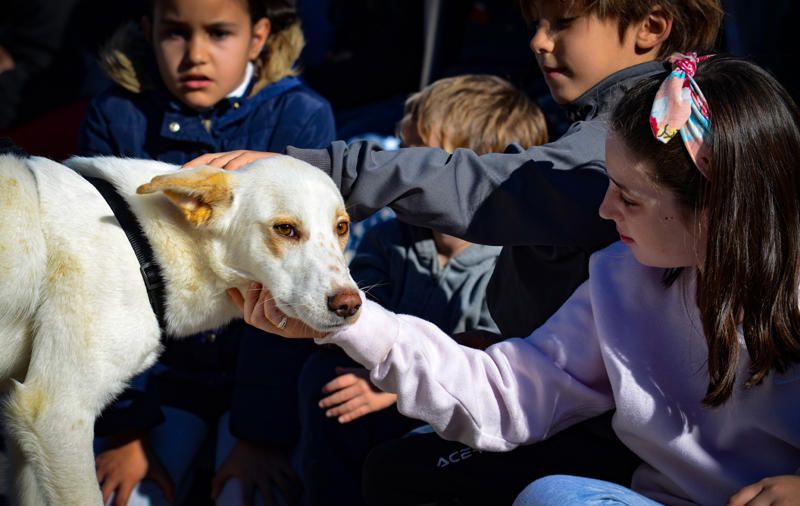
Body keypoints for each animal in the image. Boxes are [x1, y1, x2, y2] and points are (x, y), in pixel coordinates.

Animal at [0, 152, 360, 504]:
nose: (350, 305)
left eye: (342, 227)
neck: (147, 246)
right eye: (285, 229)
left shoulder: (25, 437)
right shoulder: (57, 415)